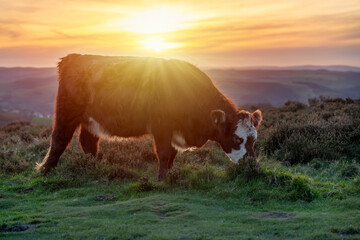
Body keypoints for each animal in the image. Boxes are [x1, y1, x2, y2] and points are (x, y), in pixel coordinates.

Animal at [36, 53, 262, 179]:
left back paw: (93, 167)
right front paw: (162, 179)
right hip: (67, 111)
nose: (251, 164)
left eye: (254, 139)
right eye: (237, 138)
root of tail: (73, 57)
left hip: (90, 119)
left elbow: (172, 153)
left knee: (89, 142)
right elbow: (163, 152)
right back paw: (45, 170)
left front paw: (170, 174)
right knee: (59, 139)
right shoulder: (161, 126)